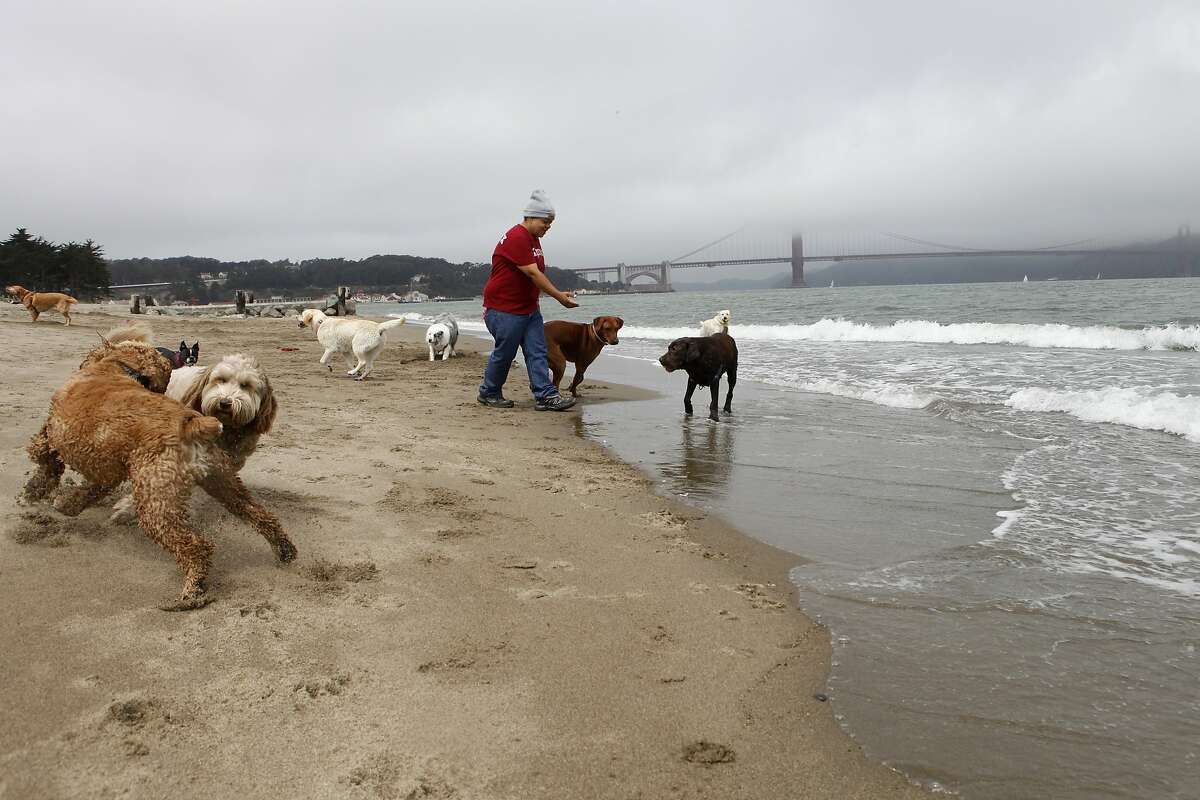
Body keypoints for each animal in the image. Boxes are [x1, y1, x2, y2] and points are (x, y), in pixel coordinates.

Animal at [21, 335, 297, 606]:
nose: (225, 403)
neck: (123, 368)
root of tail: (195, 424)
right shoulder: (109, 469)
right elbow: (89, 489)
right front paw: (67, 504)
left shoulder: (50, 436)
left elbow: (46, 463)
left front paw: (33, 493)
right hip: (223, 481)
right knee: (261, 515)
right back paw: (284, 549)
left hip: (157, 504)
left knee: (196, 546)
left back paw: (192, 592)